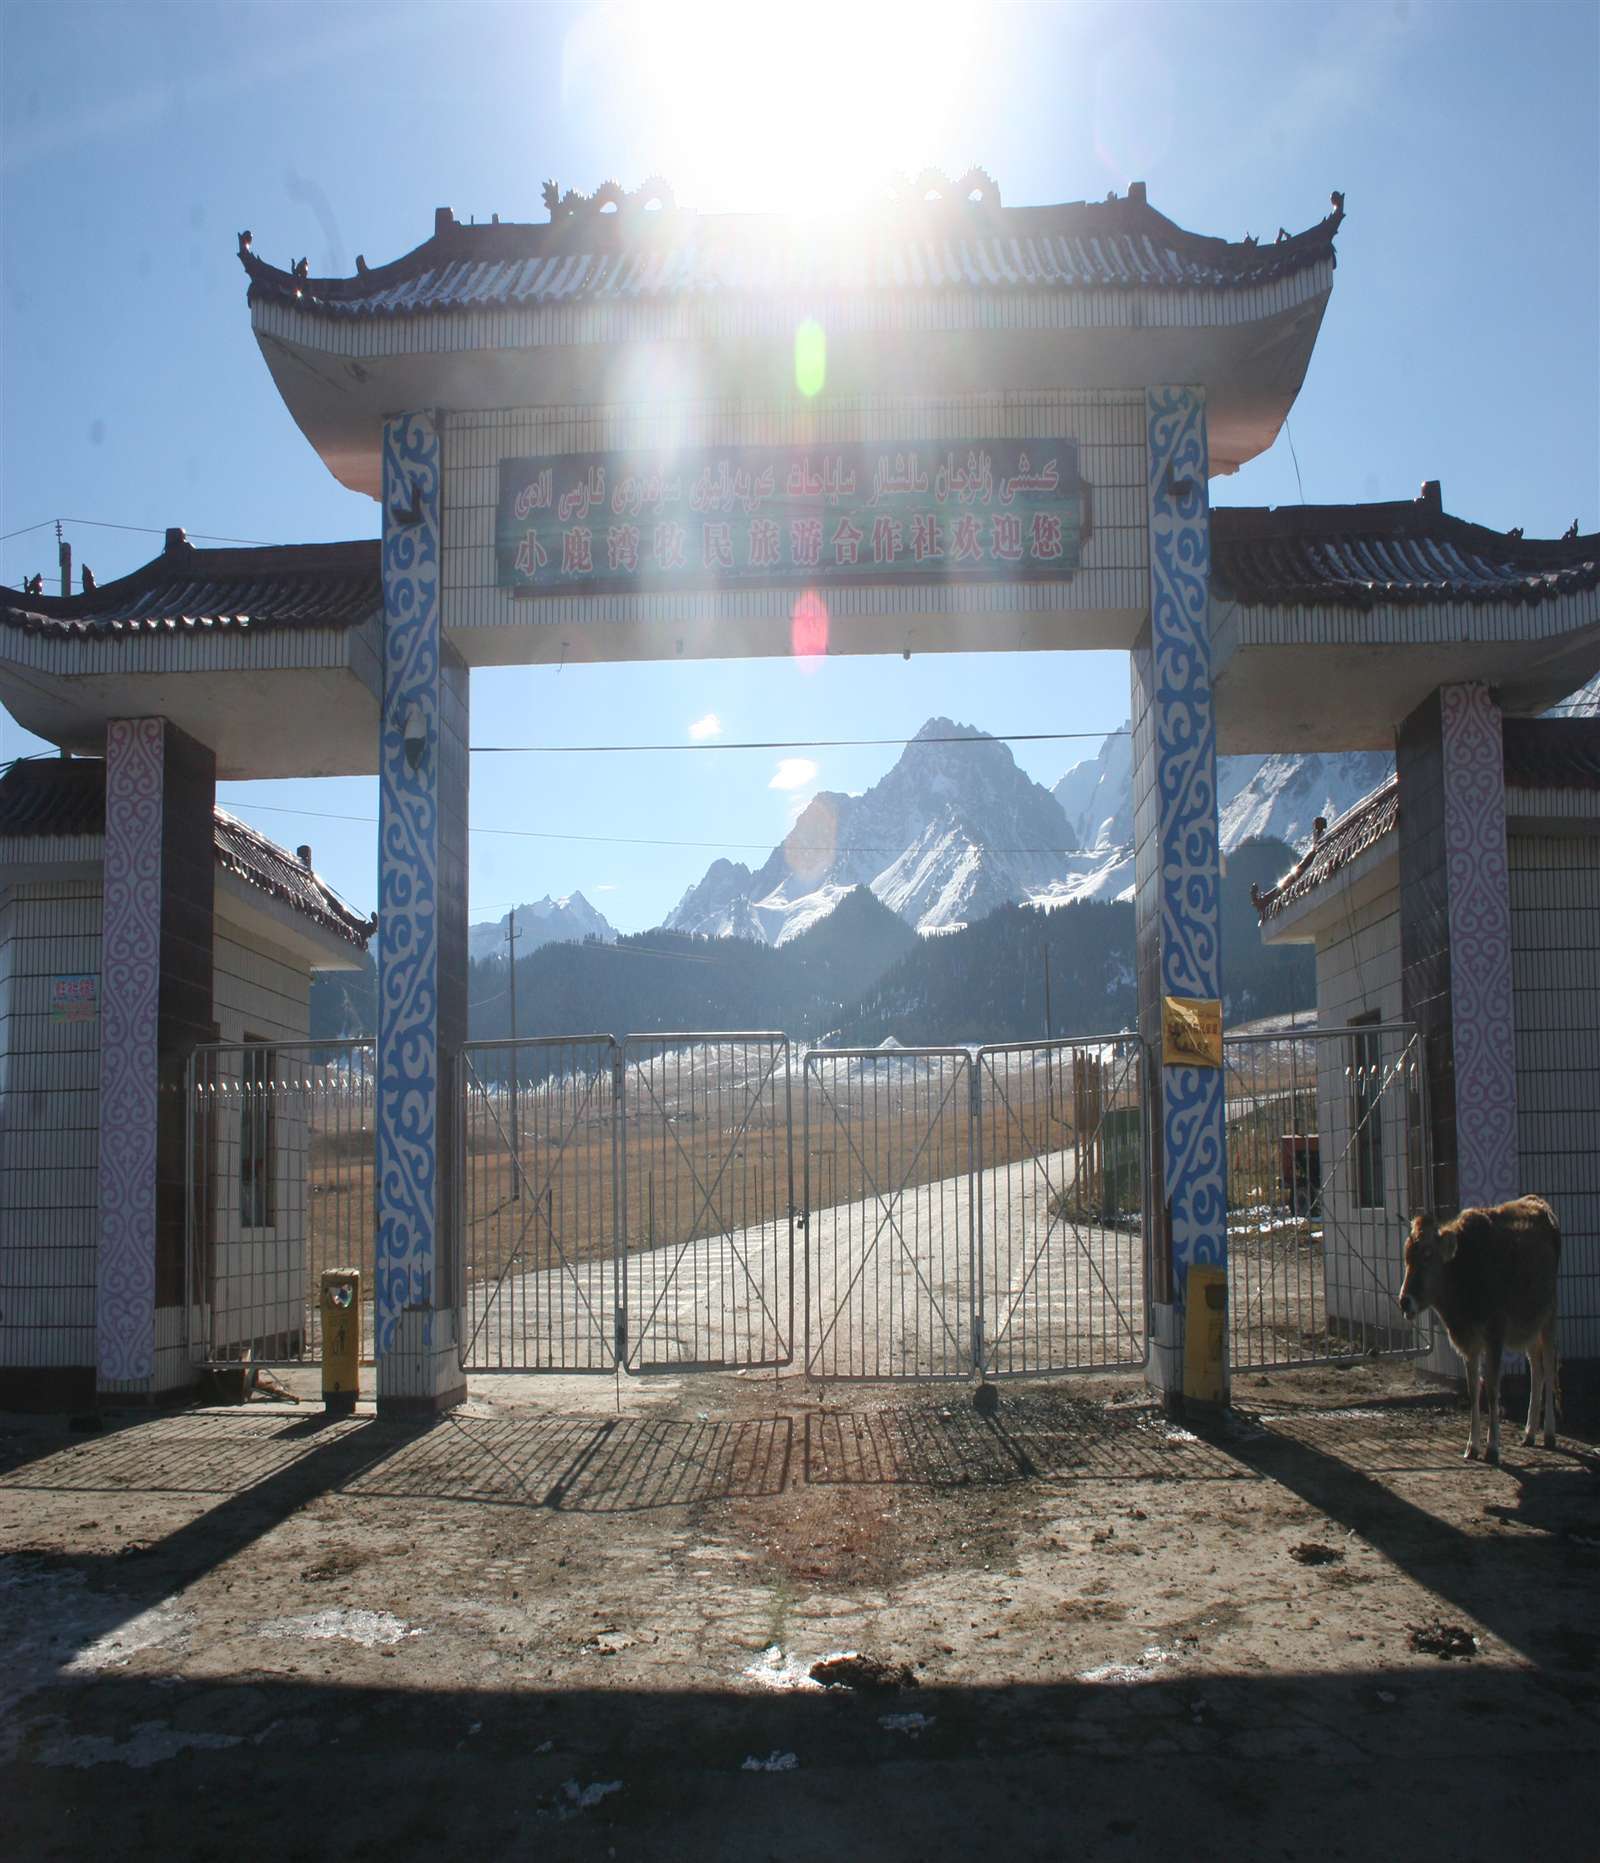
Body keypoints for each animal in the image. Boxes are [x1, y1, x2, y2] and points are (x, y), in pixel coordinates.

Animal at [1400, 1192, 1564, 1468]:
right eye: (1406, 1256)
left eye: (1428, 1254)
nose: (1405, 1301)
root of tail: (1538, 1202)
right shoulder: (1468, 1341)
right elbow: (1473, 1389)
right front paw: (1472, 1446)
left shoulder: (1494, 1333)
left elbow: (1492, 1389)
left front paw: (1493, 1448)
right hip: (1528, 1323)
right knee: (1537, 1368)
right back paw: (1530, 1432)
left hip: (1549, 1313)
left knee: (1549, 1367)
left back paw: (1550, 1434)